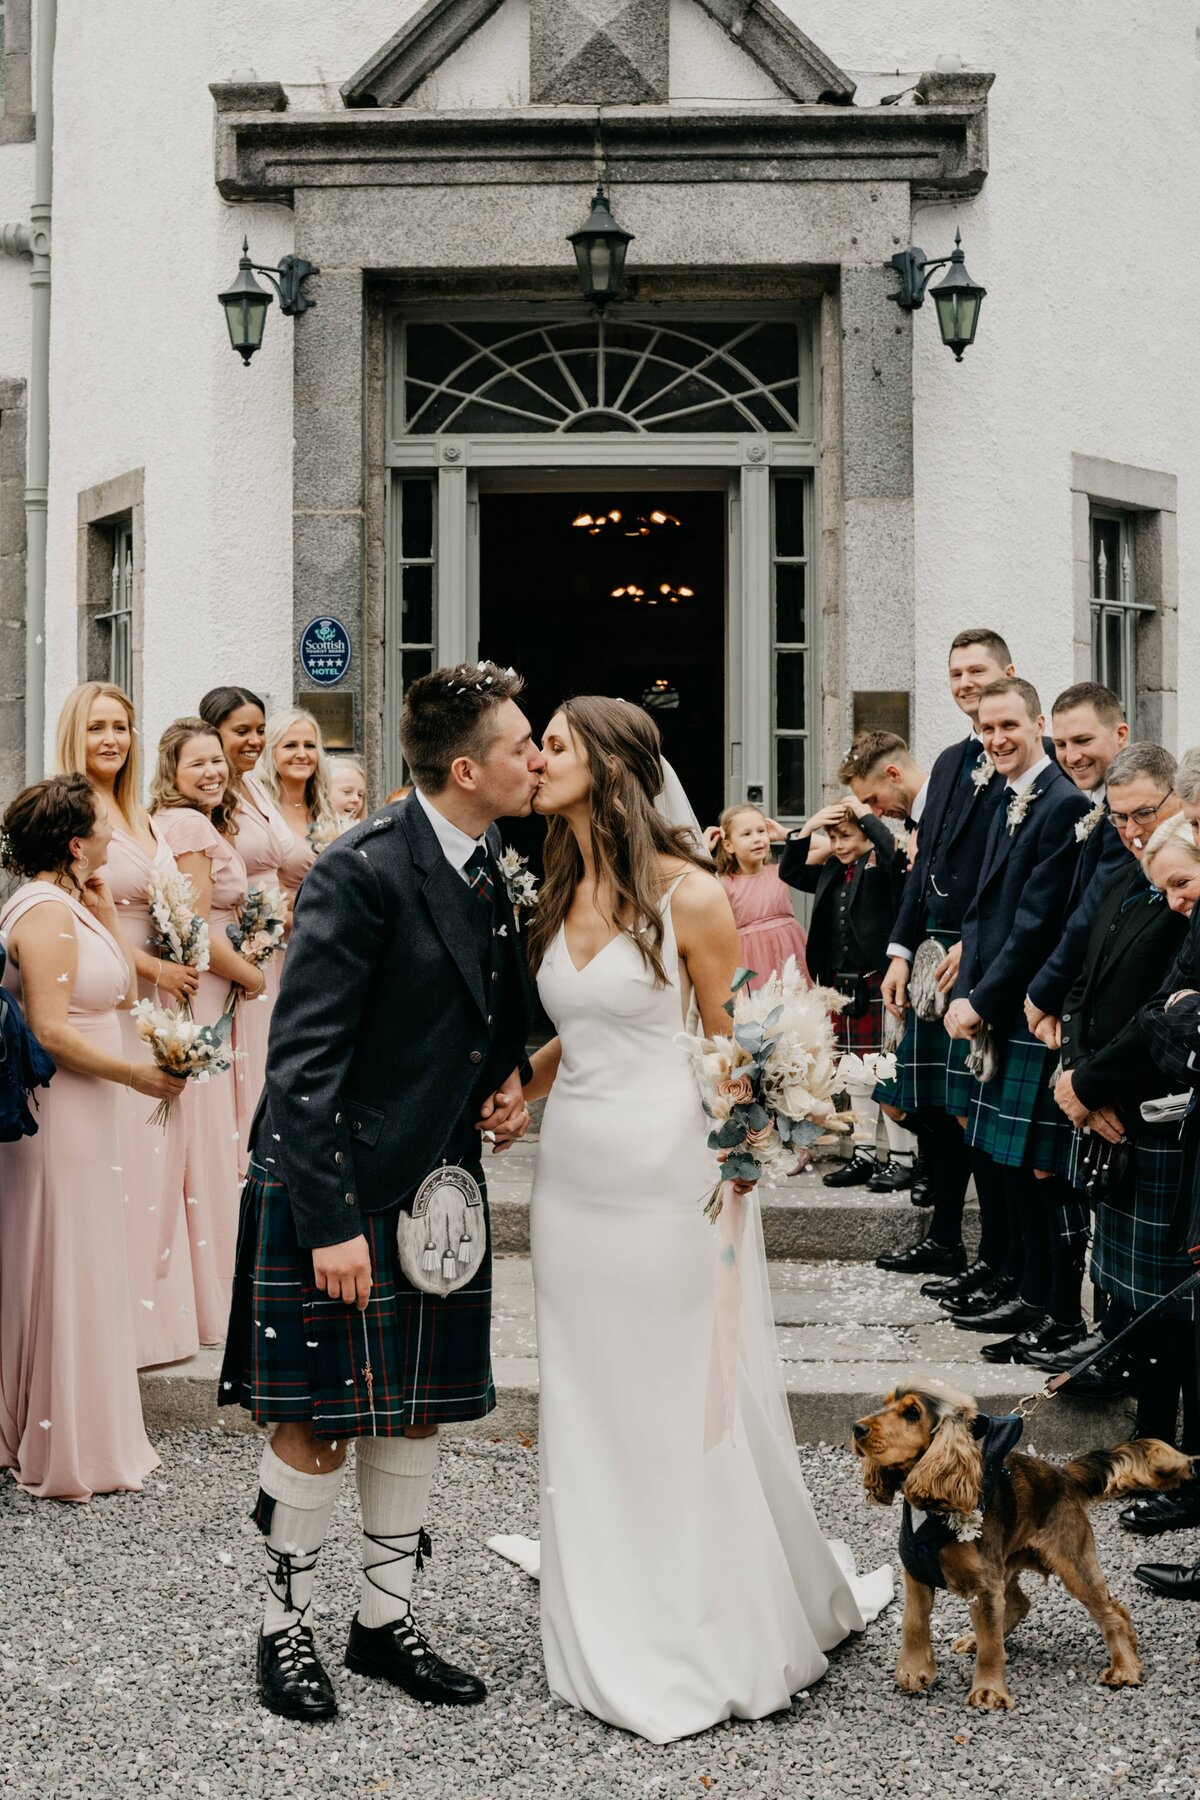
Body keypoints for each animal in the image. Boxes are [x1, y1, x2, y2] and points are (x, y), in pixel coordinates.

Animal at [852, 1375, 1194, 1713]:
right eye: (885, 1404)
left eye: (912, 1413)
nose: (857, 1428)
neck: (934, 1510)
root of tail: (1062, 1474)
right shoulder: (916, 1572)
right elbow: (913, 1623)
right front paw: (913, 1672)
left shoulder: (984, 1584)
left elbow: (991, 1646)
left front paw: (988, 1691)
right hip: (1009, 1562)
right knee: (1022, 1604)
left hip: (1072, 1563)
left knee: (1110, 1613)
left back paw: (1124, 1668)